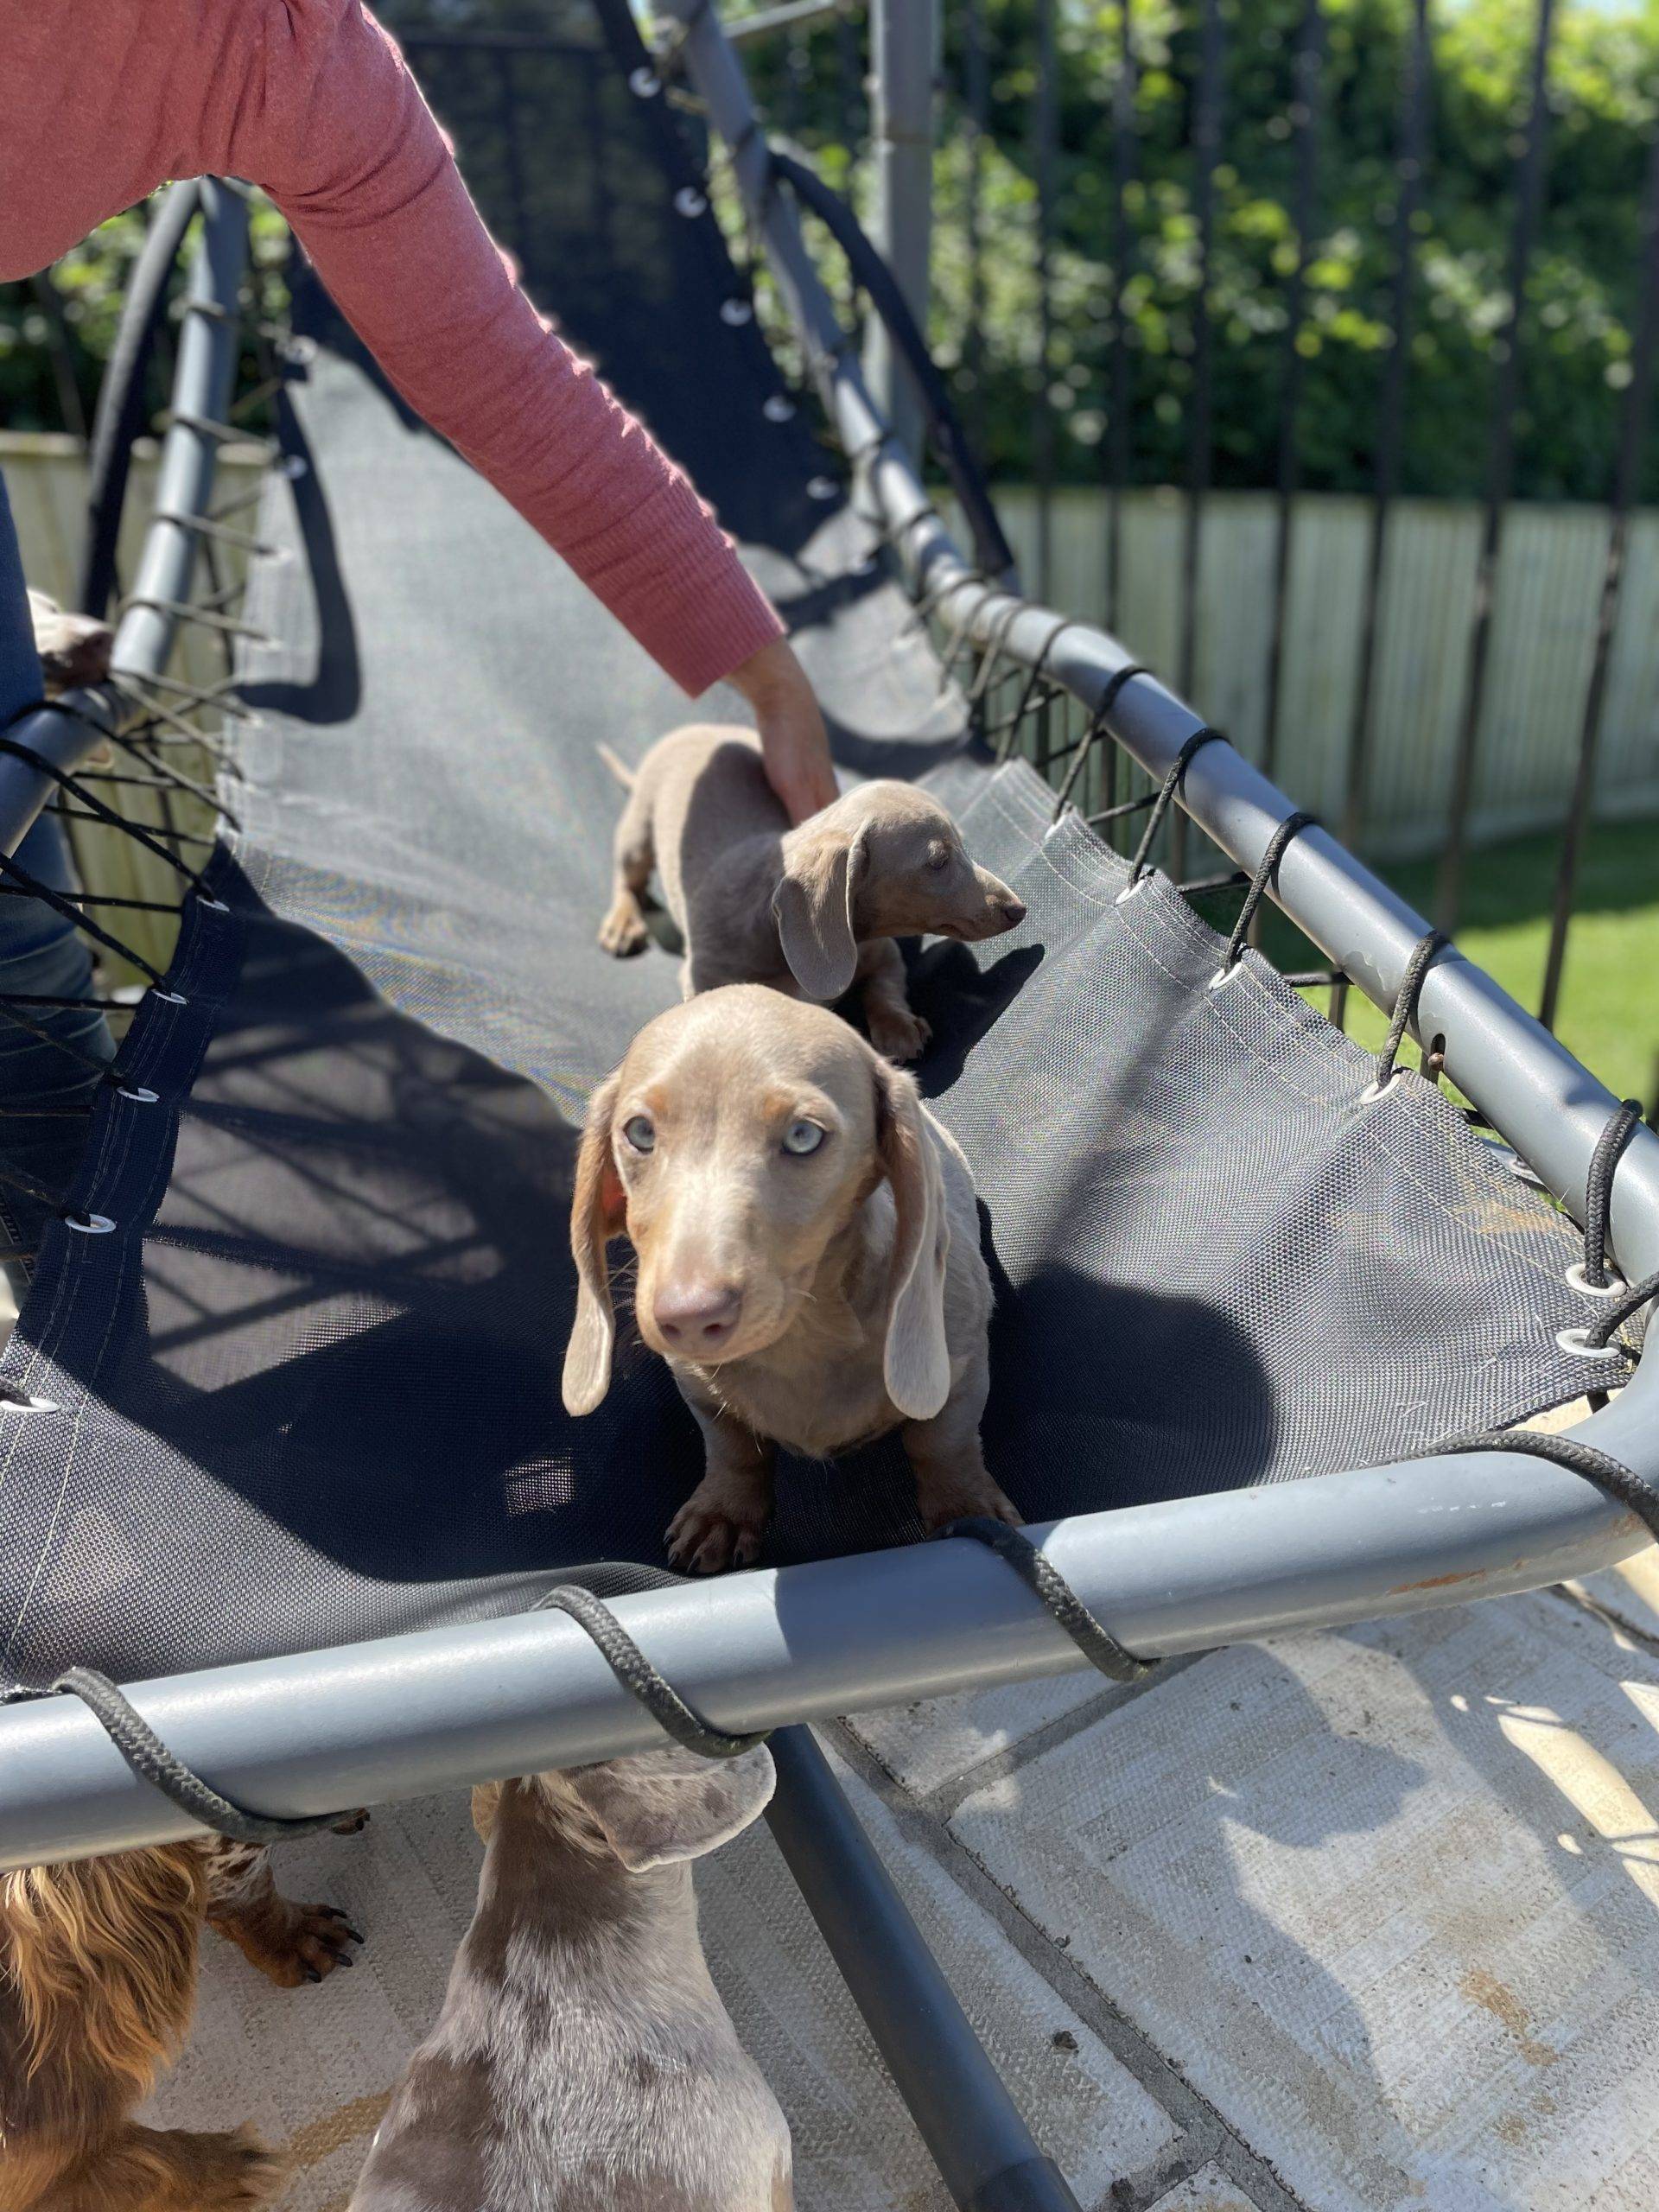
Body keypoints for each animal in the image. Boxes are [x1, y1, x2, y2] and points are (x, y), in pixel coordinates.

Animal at [562, 985, 1018, 1573]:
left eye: (803, 1136)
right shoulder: (697, 1388)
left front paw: (966, 1509)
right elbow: (732, 1447)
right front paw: (724, 1513)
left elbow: (943, 1442)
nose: (688, 1316)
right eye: (639, 1132)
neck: (802, 1337)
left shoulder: (962, 1366)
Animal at [596, 725, 1025, 1063]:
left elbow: (885, 988)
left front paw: (898, 1027)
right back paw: (623, 922)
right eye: (938, 861)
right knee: (627, 879)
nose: (1018, 909)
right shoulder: (702, 979)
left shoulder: (882, 953)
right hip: (638, 833)